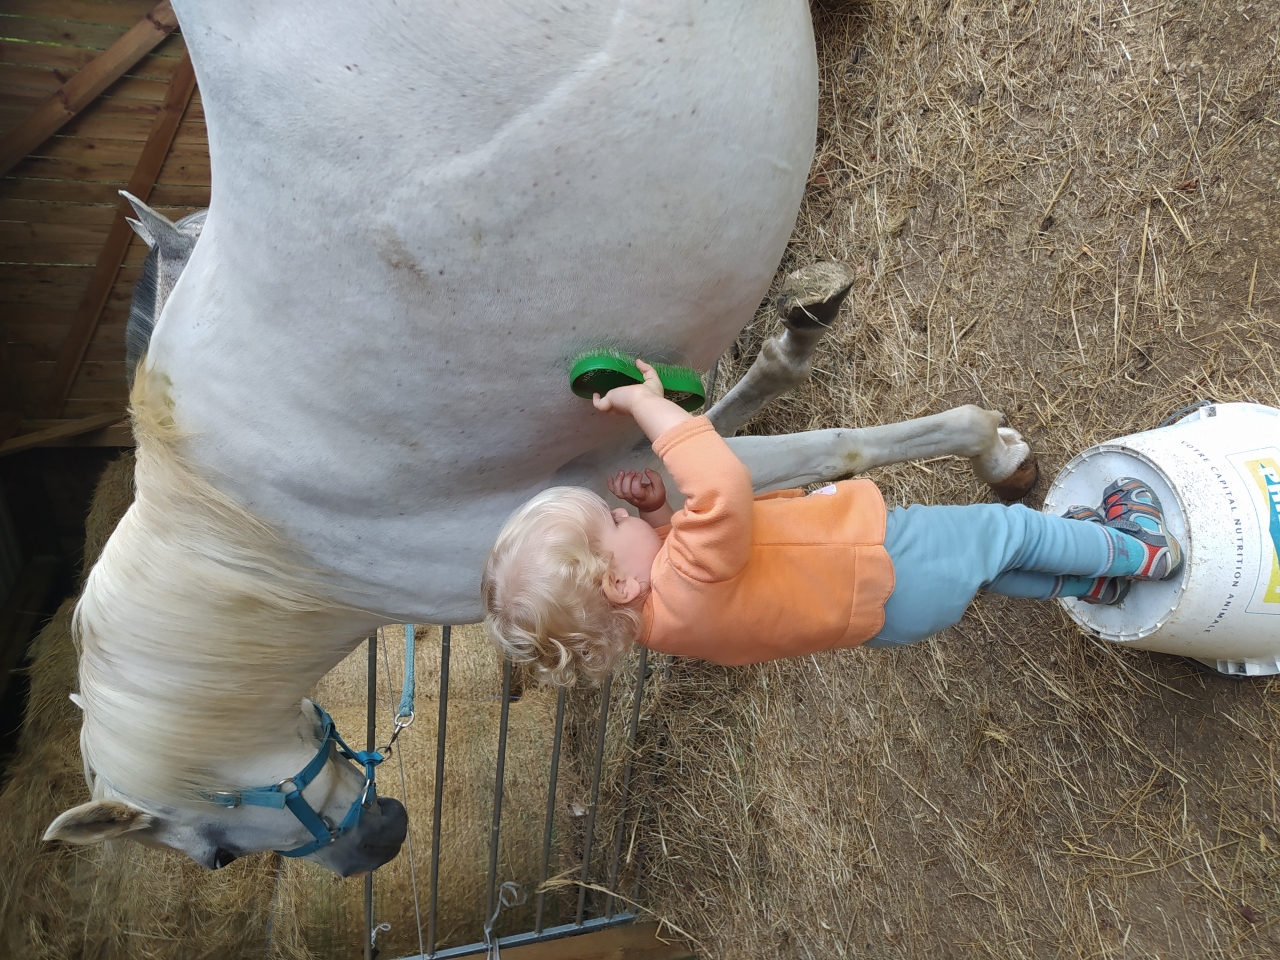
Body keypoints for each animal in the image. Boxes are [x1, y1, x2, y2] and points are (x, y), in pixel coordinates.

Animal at [43, 0, 1035, 877]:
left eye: (214, 854)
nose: (381, 844)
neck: (257, 537)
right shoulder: (608, 464)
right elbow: (723, 423)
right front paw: (799, 339)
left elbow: (835, 450)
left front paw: (994, 448)